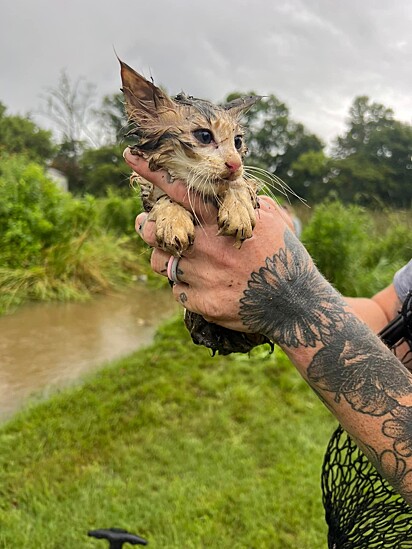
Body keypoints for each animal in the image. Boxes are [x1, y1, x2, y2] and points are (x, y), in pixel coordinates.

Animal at [120, 58, 272, 352]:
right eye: (204, 135)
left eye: (238, 142)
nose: (235, 163)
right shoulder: (148, 190)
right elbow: (162, 197)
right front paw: (173, 220)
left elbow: (242, 184)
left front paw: (238, 209)